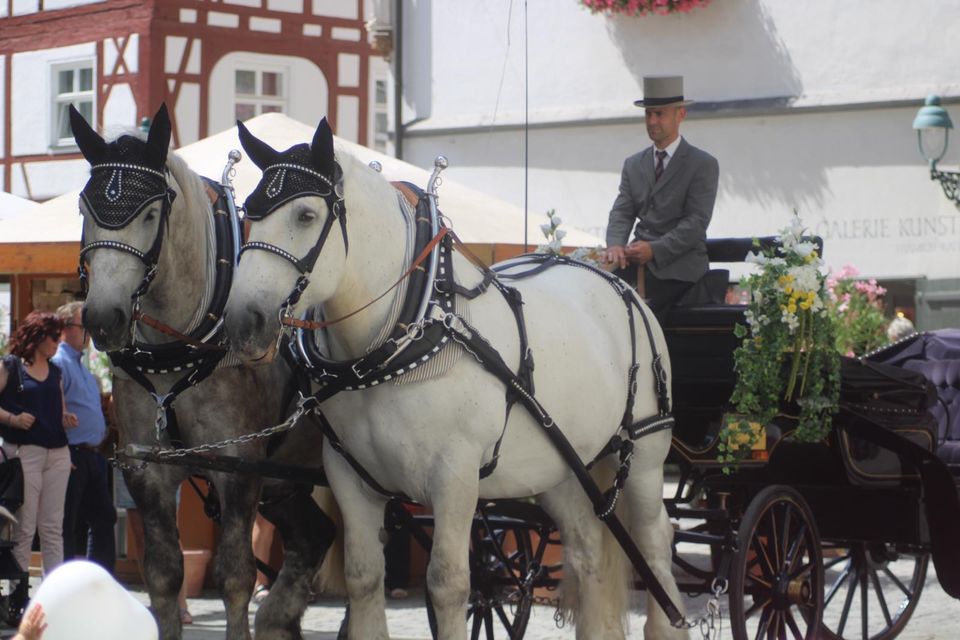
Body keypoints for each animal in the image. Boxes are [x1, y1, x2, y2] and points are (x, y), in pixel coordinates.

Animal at [71, 106, 336, 640]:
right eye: (85, 209)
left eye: (151, 214)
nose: (103, 318)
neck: (185, 349)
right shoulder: (147, 471)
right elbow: (163, 576)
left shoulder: (238, 469)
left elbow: (235, 576)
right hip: (285, 481)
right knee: (314, 538)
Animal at [223, 117, 688, 636]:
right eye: (249, 213)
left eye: (305, 215)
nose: (243, 321)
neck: (396, 346)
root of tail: (614, 280)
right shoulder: (351, 477)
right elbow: (362, 577)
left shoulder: (454, 477)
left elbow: (447, 584)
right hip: (561, 467)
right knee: (587, 551)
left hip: (643, 453)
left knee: (655, 543)